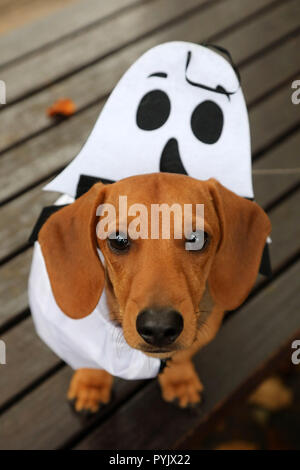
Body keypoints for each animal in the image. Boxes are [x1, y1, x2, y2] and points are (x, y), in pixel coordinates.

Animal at [38, 173, 272, 412]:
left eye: (197, 238)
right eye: (118, 239)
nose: (159, 328)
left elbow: (181, 357)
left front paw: (179, 380)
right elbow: (90, 360)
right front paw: (90, 385)